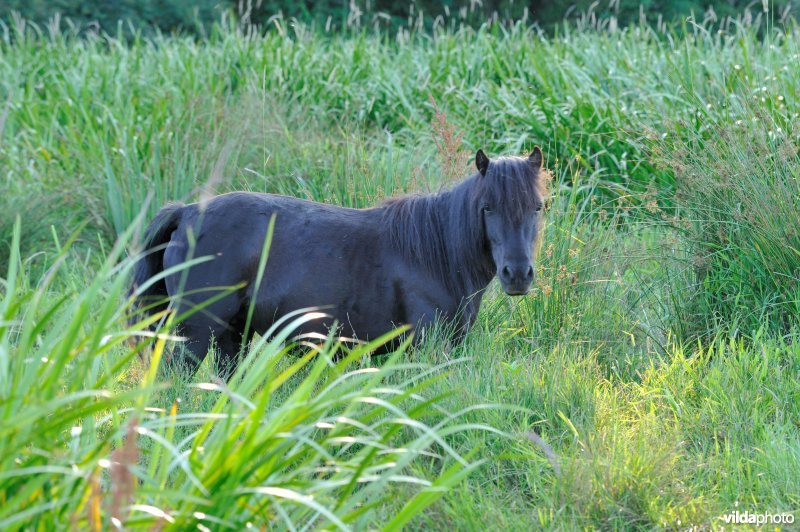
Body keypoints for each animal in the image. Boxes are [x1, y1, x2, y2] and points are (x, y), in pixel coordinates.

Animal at [131, 148, 552, 372]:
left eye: (537, 206)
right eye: (487, 208)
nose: (518, 275)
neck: (435, 254)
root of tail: (187, 212)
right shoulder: (427, 347)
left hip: (230, 338)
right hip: (196, 335)